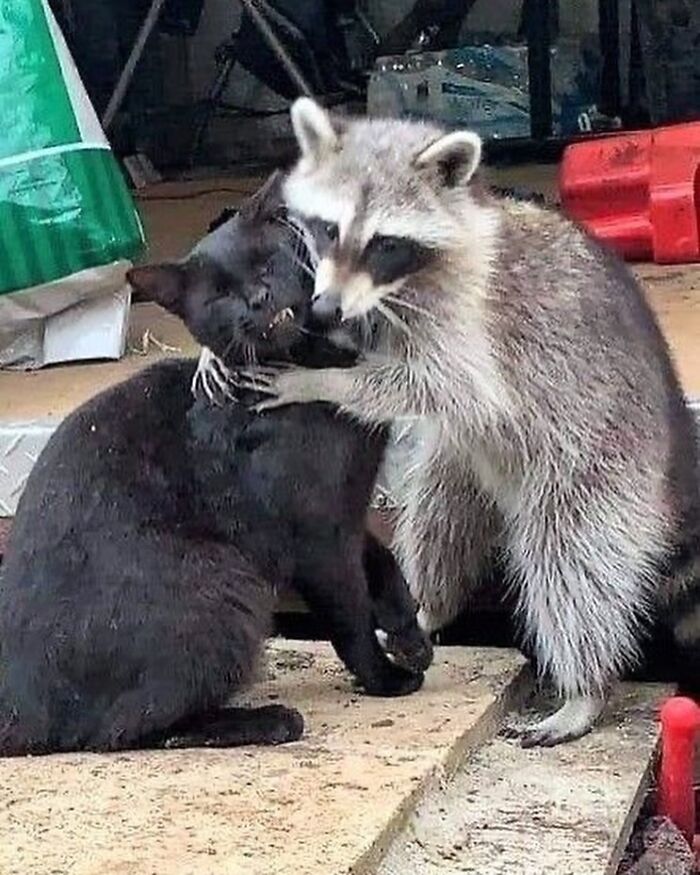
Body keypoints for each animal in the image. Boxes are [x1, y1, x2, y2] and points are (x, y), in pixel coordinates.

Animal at [240, 98, 700, 746]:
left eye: (384, 243)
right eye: (328, 228)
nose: (325, 309)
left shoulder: (472, 323)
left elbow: (442, 384)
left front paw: (322, 381)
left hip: (600, 457)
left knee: (573, 559)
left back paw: (585, 685)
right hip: (465, 461)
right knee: (439, 520)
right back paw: (427, 606)